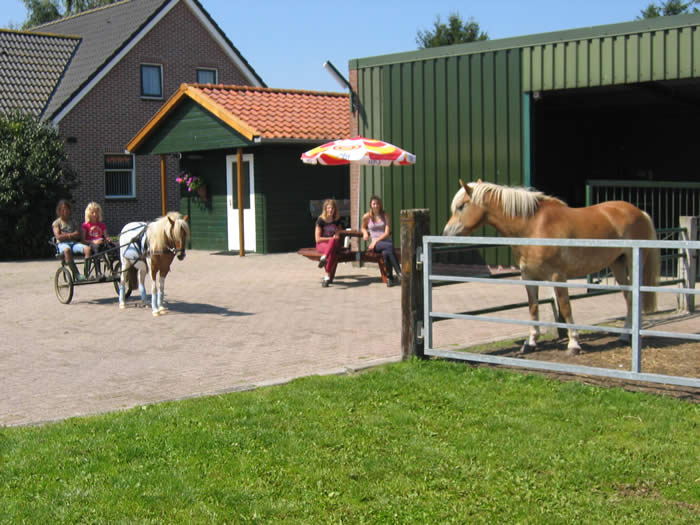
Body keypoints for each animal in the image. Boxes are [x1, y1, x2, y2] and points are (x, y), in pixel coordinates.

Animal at [446, 180, 660, 356]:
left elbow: (565, 307)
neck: (533, 227)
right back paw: (625, 335)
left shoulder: (558, 276)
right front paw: (530, 342)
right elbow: (533, 306)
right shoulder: (528, 276)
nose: (446, 233)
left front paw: (574, 344)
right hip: (617, 264)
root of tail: (639, 212)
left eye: (462, 206)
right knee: (629, 296)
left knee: (634, 297)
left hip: (632, 262)